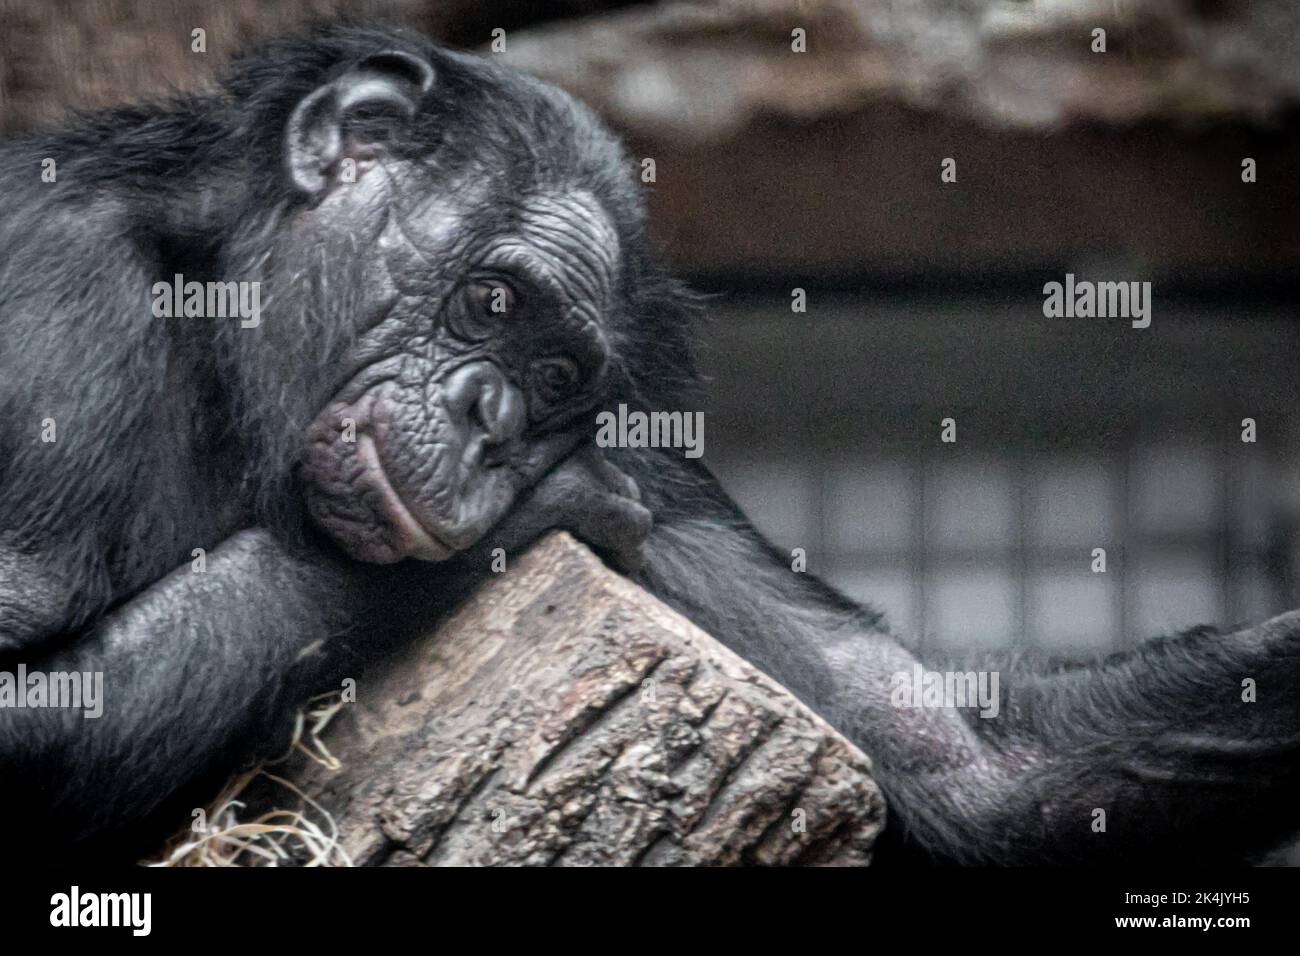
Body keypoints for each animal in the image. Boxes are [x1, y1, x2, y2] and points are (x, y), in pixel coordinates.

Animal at [2, 26, 1300, 863]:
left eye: (557, 378)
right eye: (491, 302)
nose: (491, 421)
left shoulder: (654, 453)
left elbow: (964, 758)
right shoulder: (55, 291)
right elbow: (28, 684)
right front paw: (539, 504)